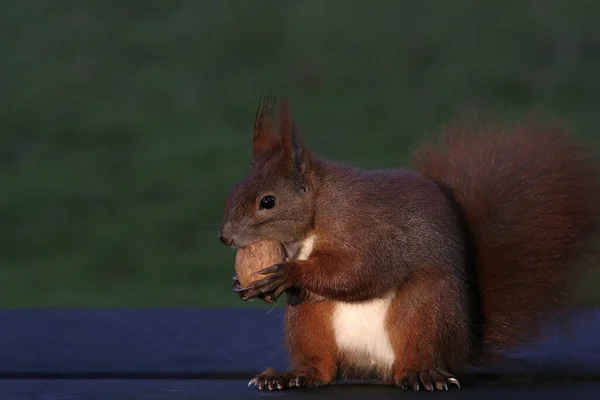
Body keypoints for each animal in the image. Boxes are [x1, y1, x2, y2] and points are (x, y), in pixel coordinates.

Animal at [219, 96, 600, 390]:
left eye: (268, 202)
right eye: (234, 189)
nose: (224, 237)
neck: (316, 215)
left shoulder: (368, 229)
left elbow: (359, 270)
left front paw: (288, 273)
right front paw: (244, 283)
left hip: (426, 306)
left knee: (415, 346)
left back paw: (421, 373)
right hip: (309, 318)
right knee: (323, 367)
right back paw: (293, 376)